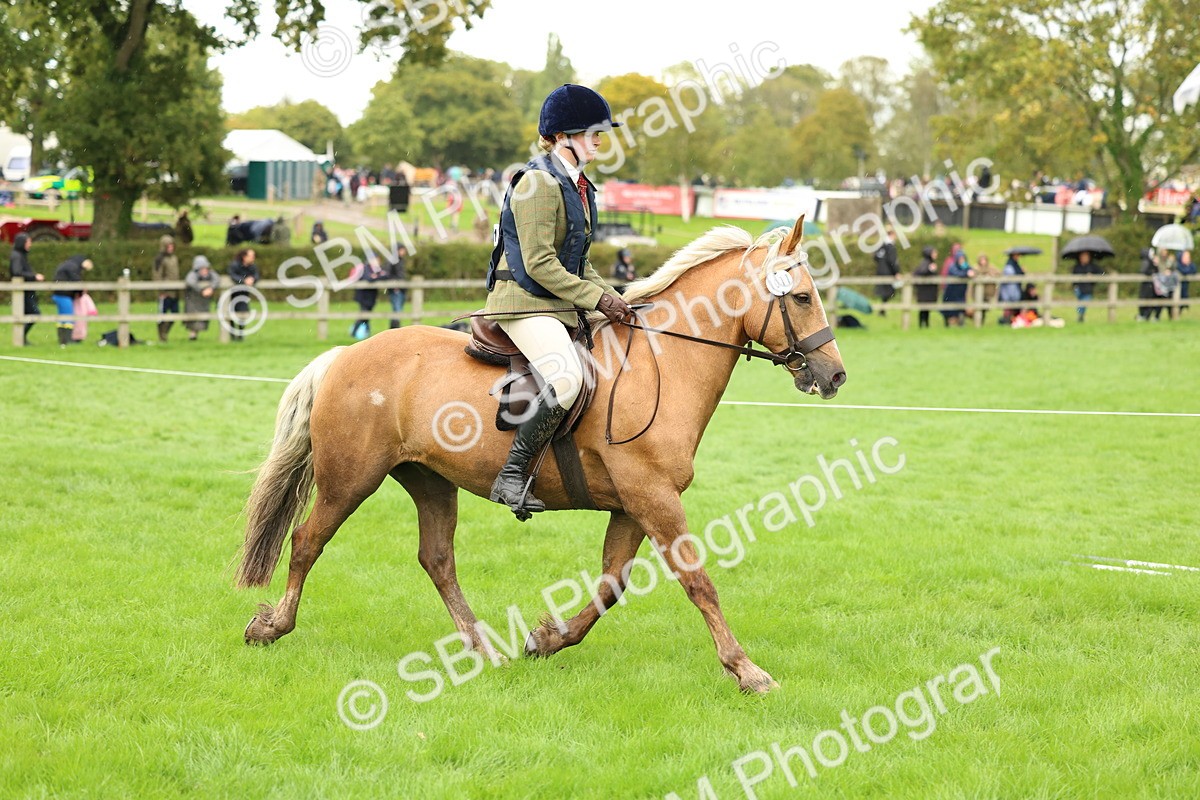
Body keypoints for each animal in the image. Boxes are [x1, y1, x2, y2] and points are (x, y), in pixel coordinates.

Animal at [235, 217, 846, 694]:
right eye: (800, 297)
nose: (835, 375)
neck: (661, 365)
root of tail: (344, 354)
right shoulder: (653, 497)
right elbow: (698, 581)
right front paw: (747, 671)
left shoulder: (633, 504)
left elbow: (610, 585)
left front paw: (546, 640)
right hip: (351, 479)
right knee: (307, 541)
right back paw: (271, 627)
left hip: (429, 479)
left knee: (437, 559)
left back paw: (484, 649)